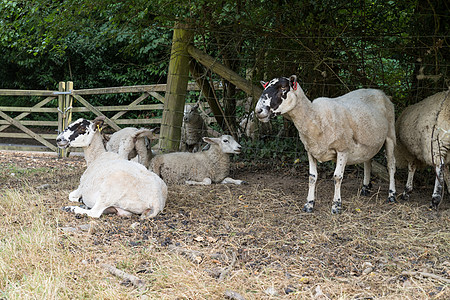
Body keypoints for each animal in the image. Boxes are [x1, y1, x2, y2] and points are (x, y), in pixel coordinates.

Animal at [255, 76, 396, 214]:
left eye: (283, 88)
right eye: (265, 87)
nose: (258, 110)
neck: (317, 117)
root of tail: (380, 92)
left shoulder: (343, 149)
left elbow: (337, 177)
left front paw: (336, 206)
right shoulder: (310, 150)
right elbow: (312, 177)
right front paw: (309, 204)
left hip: (390, 135)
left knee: (391, 165)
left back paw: (392, 195)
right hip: (368, 142)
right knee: (368, 162)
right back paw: (365, 188)